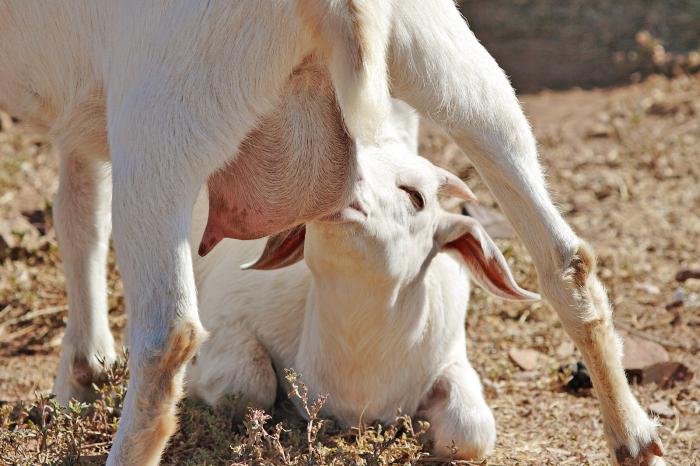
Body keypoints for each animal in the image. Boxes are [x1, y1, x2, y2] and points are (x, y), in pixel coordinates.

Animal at [0, 1, 664, 464]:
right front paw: (83, 373)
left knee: (171, 337)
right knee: (566, 258)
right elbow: (80, 207)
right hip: (452, 63)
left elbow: (80, 209)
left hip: (164, 112)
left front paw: (82, 375)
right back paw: (634, 440)